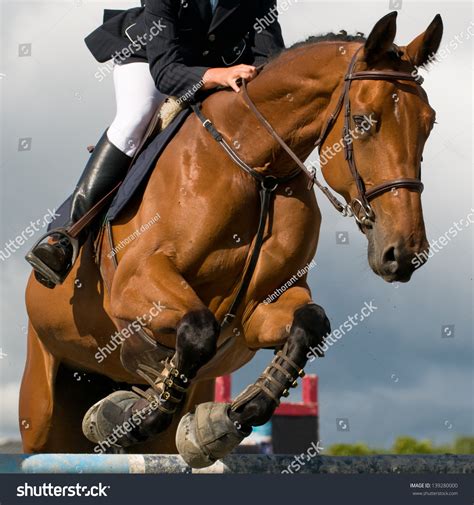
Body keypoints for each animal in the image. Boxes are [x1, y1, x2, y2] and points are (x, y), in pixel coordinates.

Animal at [21, 10, 444, 464]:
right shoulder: (135, 281)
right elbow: (198, 329)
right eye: (365, 121)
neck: (257, 168)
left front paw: (222, 420)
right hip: (42, 406)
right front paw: (129, 415)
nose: (405, 253)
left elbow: (310, 323)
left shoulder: (260, 309)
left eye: (429, 124)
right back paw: (55, 254)